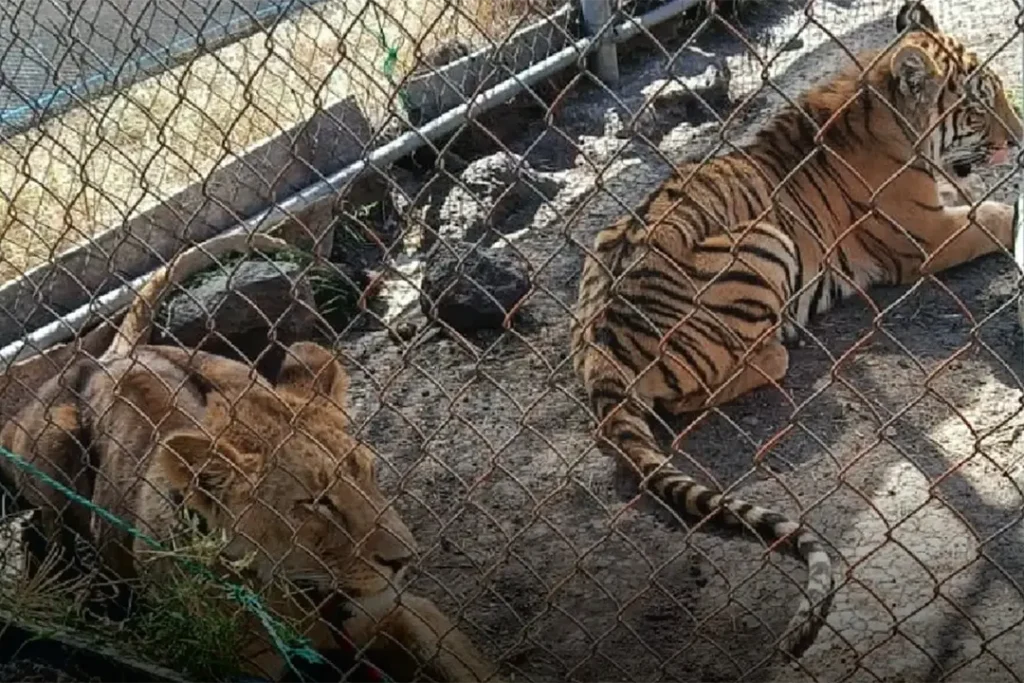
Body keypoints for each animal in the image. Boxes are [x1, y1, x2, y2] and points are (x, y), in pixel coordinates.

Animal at [570, 0, 1022, 659]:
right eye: (977, 105)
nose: (1018, 139)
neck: (879, 105)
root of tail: (601, 345)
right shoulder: (928, 236)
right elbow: (1001, 214)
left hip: (605, 239)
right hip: (765, 242)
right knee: (714, 385)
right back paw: (784, 341)